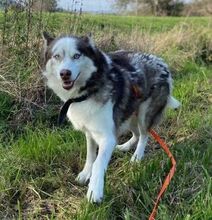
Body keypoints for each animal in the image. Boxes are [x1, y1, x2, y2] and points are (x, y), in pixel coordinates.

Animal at [42, 32, 180, 203]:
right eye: (57, 56)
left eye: (77, 56)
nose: (64, 73)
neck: (87, 91)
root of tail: (162, 64)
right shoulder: (90, 132)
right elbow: (90, 156)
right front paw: (85, 174)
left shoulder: (107, 136)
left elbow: (98, 162)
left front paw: (95, 190)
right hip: (128, 114)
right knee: (136, 134)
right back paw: (124, 147)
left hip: (143, 114)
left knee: (144, 135)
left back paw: (137, 157)